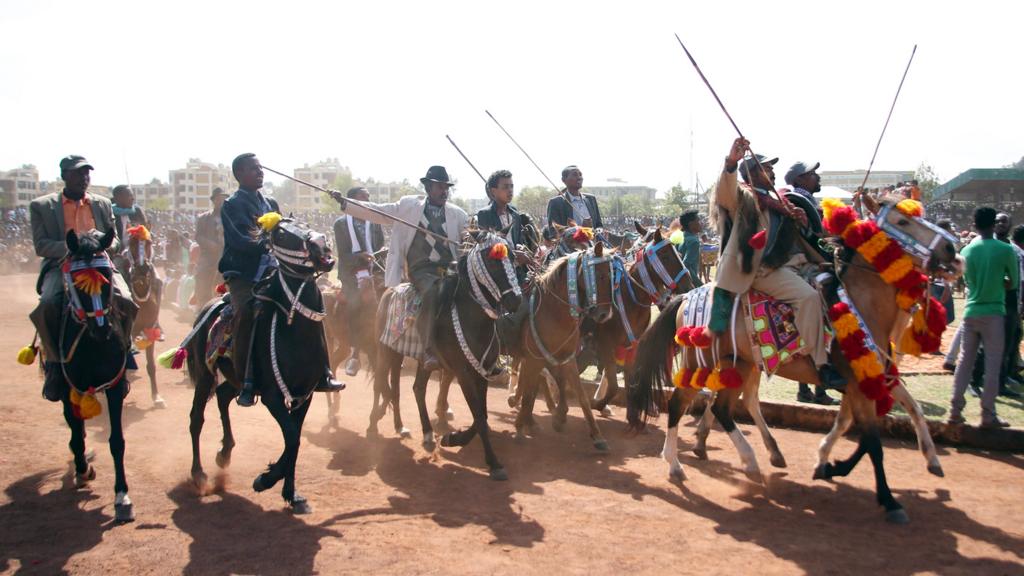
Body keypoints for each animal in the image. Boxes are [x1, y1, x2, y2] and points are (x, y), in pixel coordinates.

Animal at [55, 227, 135, 520]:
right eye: (77, 284)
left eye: (107, 276)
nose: (103, 330)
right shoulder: (69, 386)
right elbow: (75, 427)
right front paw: (82, 468)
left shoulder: (115, 384)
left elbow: (117, 441)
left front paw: (122, 495)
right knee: (74, 423)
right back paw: (81, 465)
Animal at [188, 215, 335, 510]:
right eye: (281, 233)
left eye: (306, 225)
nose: (321, 247)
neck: (296, 333)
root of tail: (209, 305)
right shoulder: (272, 396)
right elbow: (292, 438)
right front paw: (265, 480)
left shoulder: (305, 395)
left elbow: (294, 440)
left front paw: (291, 494)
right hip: (204, 373)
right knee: (196, 417)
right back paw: (199, 474)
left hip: (234, 376)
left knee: (223, 395)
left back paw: (225, 452)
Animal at [370, 230, 520, 477]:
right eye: (491, 261)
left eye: (514, 258)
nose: (515, 301)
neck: (473, 319)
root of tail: (389, 290)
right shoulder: (463, 372)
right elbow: (479, 417)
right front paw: (493, 462)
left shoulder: (483, 371)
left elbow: (482, 415)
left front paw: (453, 438)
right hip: (386, 352)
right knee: (381, 384)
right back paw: (374, 424)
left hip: (420, 360)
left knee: (415, 389)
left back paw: (422, 433)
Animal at [626, 194, 962, 522]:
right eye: (902, 221)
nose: (952, 249)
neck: (860, 305)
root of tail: (687, 297)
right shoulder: (857, 384)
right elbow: (872, 443)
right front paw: (888, 499)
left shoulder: (870, 378)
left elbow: (899, 415)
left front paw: (834, 463)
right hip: (703, 361)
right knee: (681, 404)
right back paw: (684, 464)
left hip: (741, 363)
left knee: (727, 405)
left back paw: (750, 458)